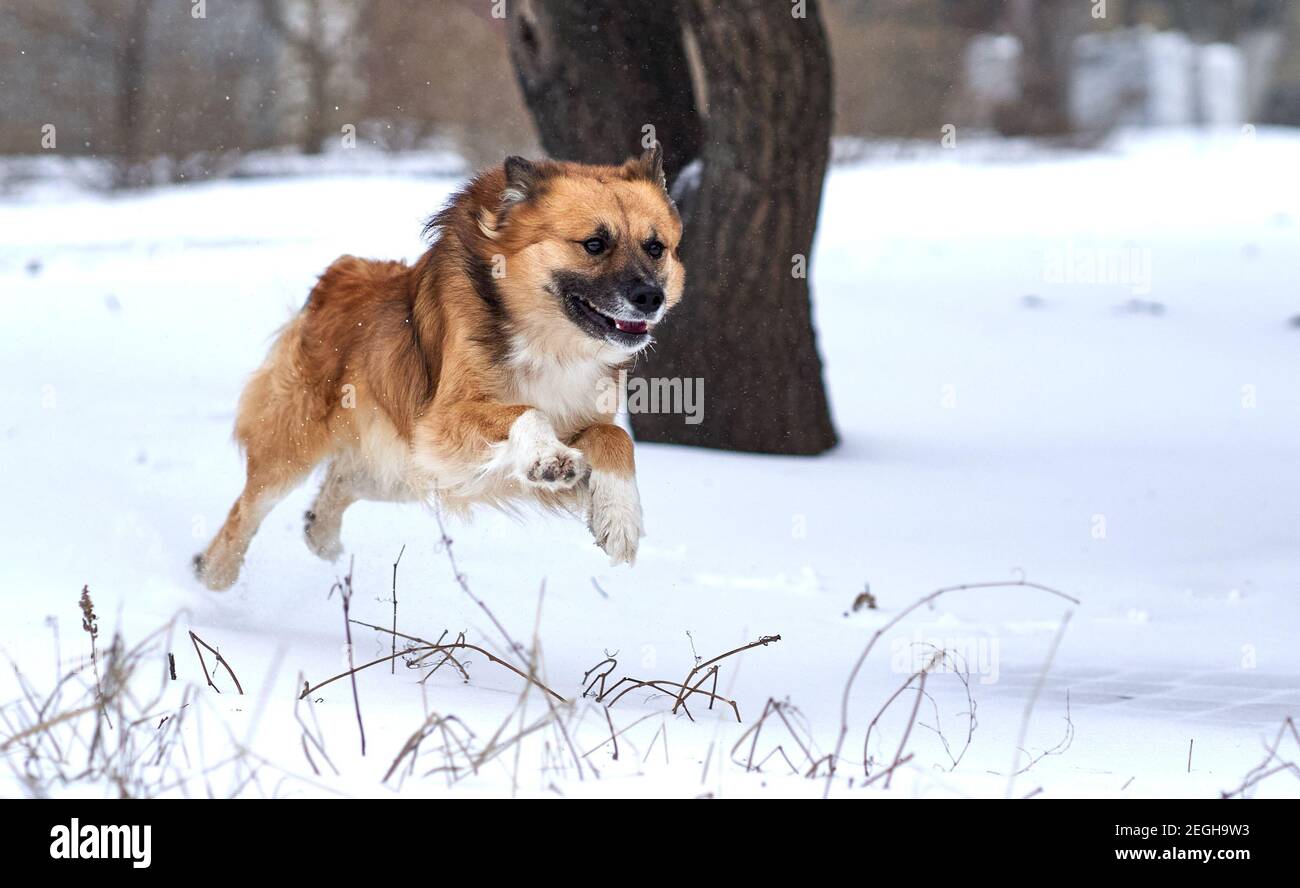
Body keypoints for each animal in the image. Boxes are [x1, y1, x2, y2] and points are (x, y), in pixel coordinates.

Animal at [197, 145, 686, 590]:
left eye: (655, 248)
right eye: (594, 244)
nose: (651, 297)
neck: (549, 343)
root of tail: (336, 276)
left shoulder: (569, 421)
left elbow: (614, 437)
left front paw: (620, 518)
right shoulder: (441, 422)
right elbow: (527, 412)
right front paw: (548, 457)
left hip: (402, 465)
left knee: (342, 480)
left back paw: (320, 532)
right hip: (298, 445)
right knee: (246, 509)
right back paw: (214, 574)